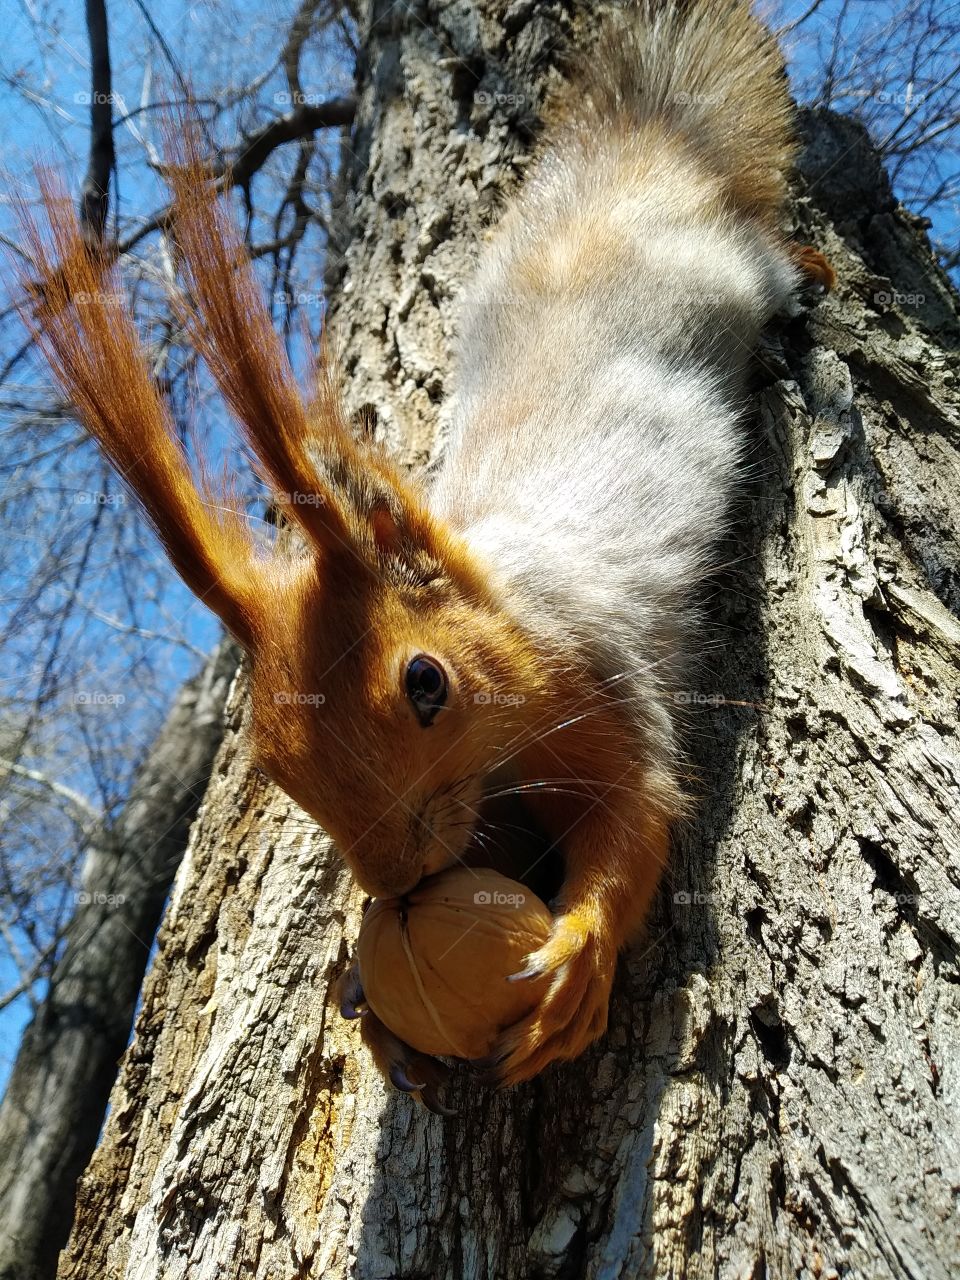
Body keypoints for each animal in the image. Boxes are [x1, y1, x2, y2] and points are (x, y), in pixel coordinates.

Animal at [22, 0, 832, 1108]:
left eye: (425, 683)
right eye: (270, 763)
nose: (398, 884)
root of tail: (644, 165)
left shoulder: (608, 687)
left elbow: (640, 815)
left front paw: (577, 958)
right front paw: (370, 1006)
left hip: (729, 267)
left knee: (769, 249)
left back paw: (814, 280)